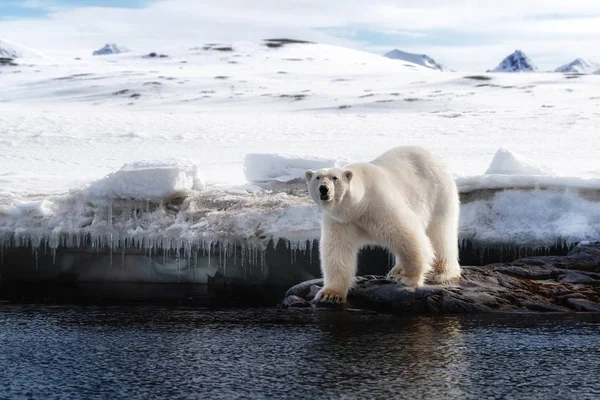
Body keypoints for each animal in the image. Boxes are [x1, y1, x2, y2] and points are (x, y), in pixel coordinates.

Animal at [308, 146, 462, 304]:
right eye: (317, 177)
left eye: (335, 178)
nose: (323, 189)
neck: (358, 206)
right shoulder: (341, 220)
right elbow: (337, 249)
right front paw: (330, 294)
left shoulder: (379, 204)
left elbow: (408, 235)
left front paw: (407, 278)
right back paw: (395, 270)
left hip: (438, 194)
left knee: (440, 235)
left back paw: (441, 273)